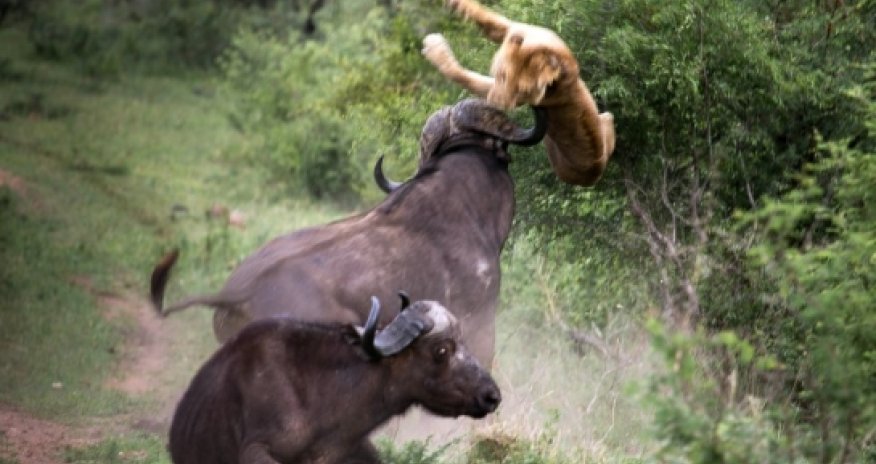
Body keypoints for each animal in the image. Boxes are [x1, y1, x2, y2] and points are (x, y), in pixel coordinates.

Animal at [422, 0, 616, 186]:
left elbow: (465, 77)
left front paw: (435, 48)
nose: (495, 102)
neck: (545, 51)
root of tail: (596, 171)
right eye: (502, 75)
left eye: (524, 92)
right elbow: (484, 16)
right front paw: (456, 4)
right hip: (606, 117)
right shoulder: (514, 28)